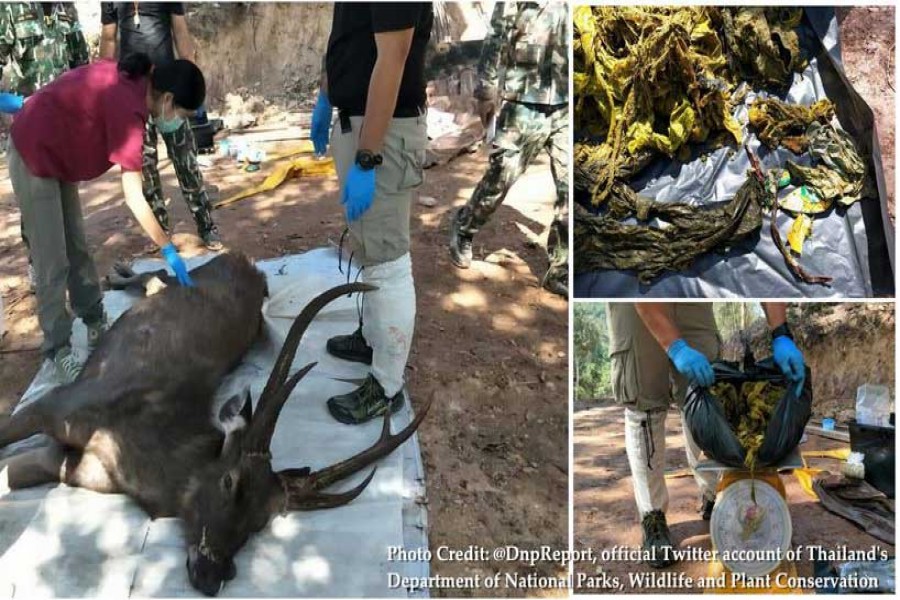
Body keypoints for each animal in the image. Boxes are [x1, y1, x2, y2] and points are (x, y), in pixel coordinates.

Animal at [0, 252, 430, 596]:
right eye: (229, 481)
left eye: (260, 523)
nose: (214, 574)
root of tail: (248, 264)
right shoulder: (57, 404)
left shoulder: (72, 466)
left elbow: (12, 474)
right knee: (162, 271)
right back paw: (118, 273)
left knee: (159, 276)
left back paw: (120, 273)